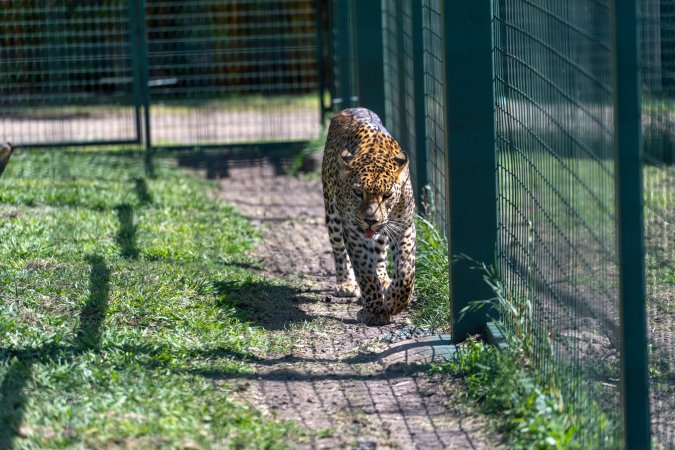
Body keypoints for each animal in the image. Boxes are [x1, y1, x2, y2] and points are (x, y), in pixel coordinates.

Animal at [321, 108, 416, 326]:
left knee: (380, 252)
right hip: (332, 214)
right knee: (339, 250)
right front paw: (374, 311)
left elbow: (406, 270)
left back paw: (384, 279)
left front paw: (394, 301)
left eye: (387, 195)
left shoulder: (404, 226)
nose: (371, 220)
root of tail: (350, 109)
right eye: (358, 193)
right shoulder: (354, 232)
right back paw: (345, 284)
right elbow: (365, 272)